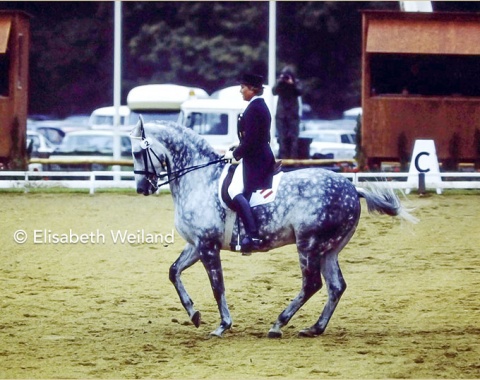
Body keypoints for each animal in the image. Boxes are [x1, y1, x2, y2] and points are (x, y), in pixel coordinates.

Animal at [130, 119, 416, 338]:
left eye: (137, 152)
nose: (142, 188)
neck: (200, 180)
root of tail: (352, 188)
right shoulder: (196, 244)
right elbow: (174, 272)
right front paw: (194, 314)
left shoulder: (208, 246)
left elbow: (217, 286)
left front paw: (222, 326)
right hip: (329, 249)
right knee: (336, 286)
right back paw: (314, 328)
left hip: (308, 244)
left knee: (312, 284)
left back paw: (279, 324)